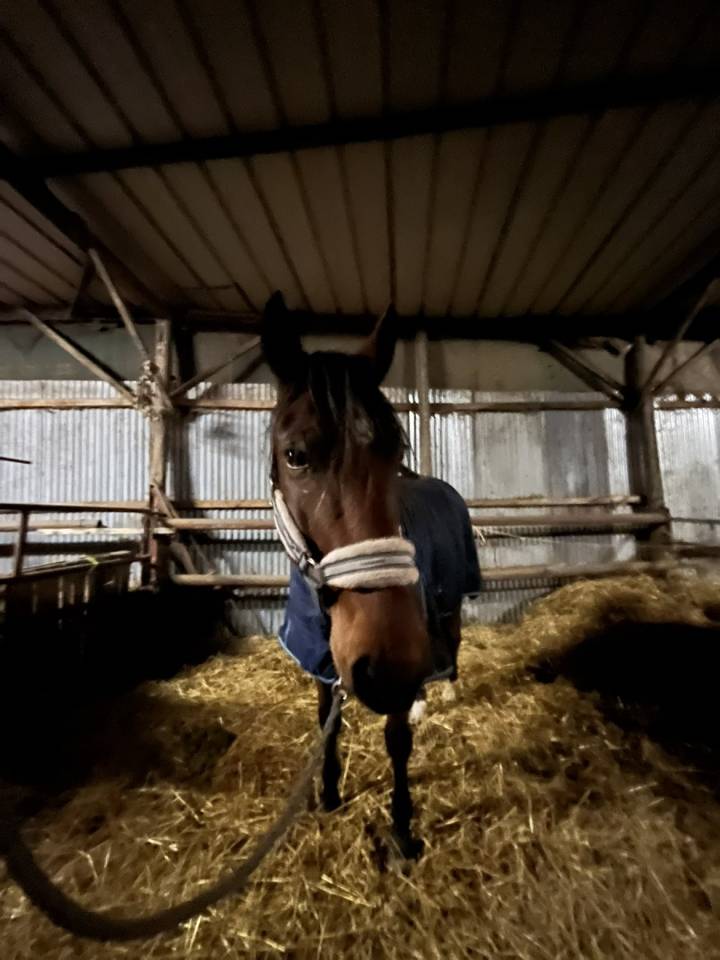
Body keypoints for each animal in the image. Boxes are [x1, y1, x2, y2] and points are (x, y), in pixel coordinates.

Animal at [263, 292, 481, 859]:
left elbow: (397, 742)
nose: (387, 669)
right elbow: (327, 722)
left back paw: (445, 692)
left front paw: (403, 832)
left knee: (450, 643)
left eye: (395, 450)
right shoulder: (318, 653)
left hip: (450, 599)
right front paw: (329, 793)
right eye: (295, 455)